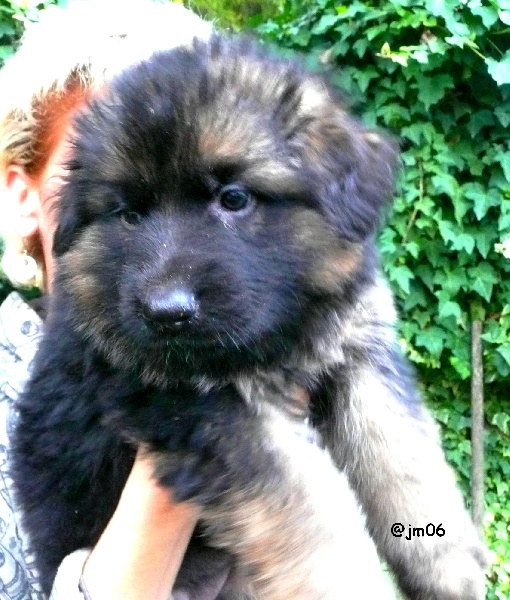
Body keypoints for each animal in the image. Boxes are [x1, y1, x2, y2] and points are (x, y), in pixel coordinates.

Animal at [12, 36, 486, 600]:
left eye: (233, 198)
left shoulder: (359, 352)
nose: (167, 313)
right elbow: (315, 515)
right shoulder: (208, 413)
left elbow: (403, 458)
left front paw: (449, 571)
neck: (280, 337)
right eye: (128, 214)